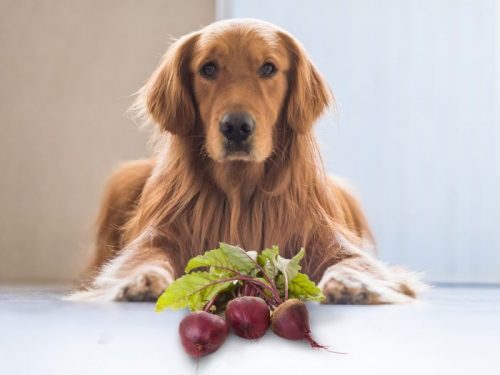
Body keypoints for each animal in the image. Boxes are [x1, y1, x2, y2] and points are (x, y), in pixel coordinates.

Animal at [69, 19, 422, 304]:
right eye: (208, 68)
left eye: (268, 68)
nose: (236, 127)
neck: (238, 188)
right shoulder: (159, 235)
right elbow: (145, 257)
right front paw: (141, 280)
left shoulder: (330, 241)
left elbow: (354, 262)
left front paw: (351, 283)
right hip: (124, 177)